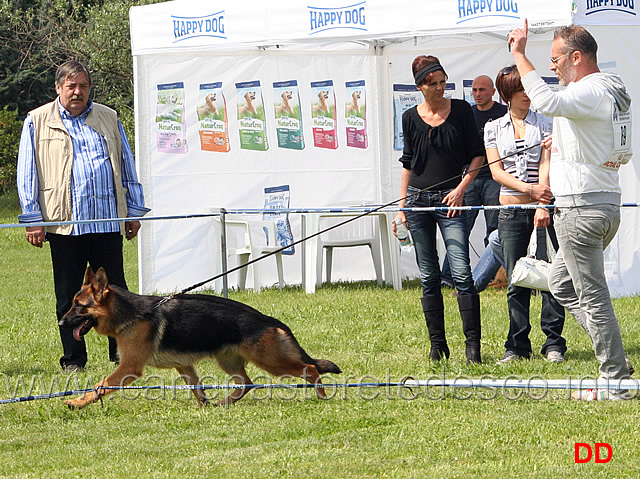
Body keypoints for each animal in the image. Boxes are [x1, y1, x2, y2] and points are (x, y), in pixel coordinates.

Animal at [60, 268, 342, 410]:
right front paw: (204, 405)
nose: (61, 323)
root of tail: (268, 320)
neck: (131, 315)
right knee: (246, 383)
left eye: (79, 306)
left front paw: (76, 402)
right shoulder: (184, 365)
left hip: (271, 361)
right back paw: (223, 403)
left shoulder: (129, 368)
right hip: (229, 361)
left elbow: (101, 385)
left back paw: (322, 396)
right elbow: (196, 386)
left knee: (310, 368)